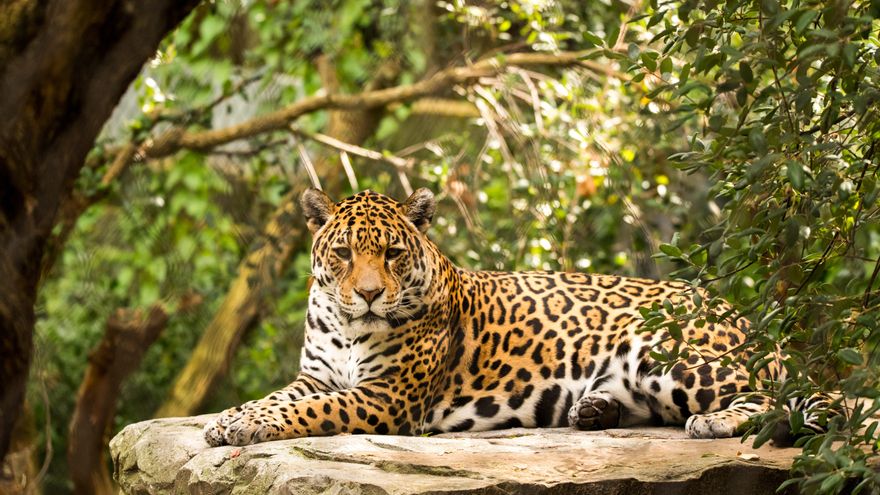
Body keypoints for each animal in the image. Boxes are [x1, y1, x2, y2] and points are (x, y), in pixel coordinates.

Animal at [204, 188, 820, 447]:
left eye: (393, 254)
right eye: (343, 254)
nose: (371, 294)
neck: (350, 325)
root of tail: (740, 314)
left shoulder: (388, 397)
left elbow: (310, 412)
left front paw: (248, 426)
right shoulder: (316, 375)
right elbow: (279, 398)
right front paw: (230, 418)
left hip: (667, 352)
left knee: (780, 397)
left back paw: (713, 422)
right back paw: (593, 409)